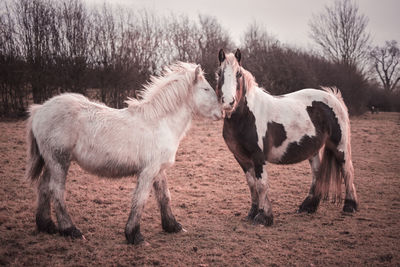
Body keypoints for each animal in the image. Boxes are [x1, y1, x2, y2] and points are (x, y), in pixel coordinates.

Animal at [25, 62, 222, 245]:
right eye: (206, 88)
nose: (222, 112)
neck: (160, 123)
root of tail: (39, 110)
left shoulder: (159, 170)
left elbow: (164, 196)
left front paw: (172, 226)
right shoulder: (148, 171)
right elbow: (140, 199)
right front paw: (135, 236)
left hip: (51, 161)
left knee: (43, 187)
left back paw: (46, 225)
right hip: (59, 160)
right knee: (56, 190)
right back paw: (70, 230)